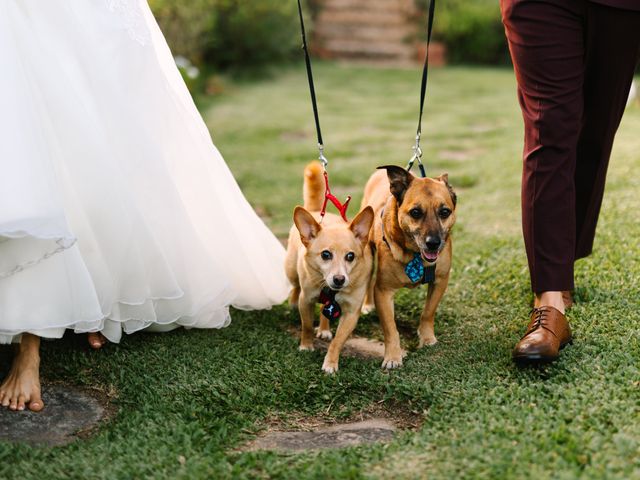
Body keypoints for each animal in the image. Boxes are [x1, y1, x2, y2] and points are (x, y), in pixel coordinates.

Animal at [284, 163, 376, 374]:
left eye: (350, 256)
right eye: (325, 255)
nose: (339, 279)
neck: (329, 289)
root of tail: (316, 210)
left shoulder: (351, 313)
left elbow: (338, 341)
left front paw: (330, 363)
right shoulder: (306, 301)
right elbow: (307, 326)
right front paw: (306, 346)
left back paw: (324, 329)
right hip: (291, 271)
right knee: (295, 286)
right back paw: (291, 302)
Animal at [362, 167, 458, 370]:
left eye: (445, 212)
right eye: (415, 212)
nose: (433, 243)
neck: (416, 256)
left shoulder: (440, 281)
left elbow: (428, 312)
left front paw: (427, 338)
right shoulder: (383, 291)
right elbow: (390, 328)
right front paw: (392, 356)